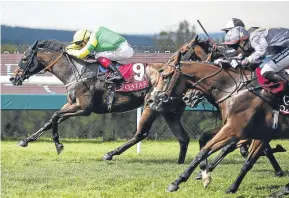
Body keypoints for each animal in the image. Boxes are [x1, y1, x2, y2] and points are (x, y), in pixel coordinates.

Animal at [145, 61, 288, 193]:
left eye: (165, 76)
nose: (151, 99)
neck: (233, 89)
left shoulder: (234, 130)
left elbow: (205, 151)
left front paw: (177, 181)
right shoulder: (252, 133)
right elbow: (246, 159)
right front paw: (207, 173)